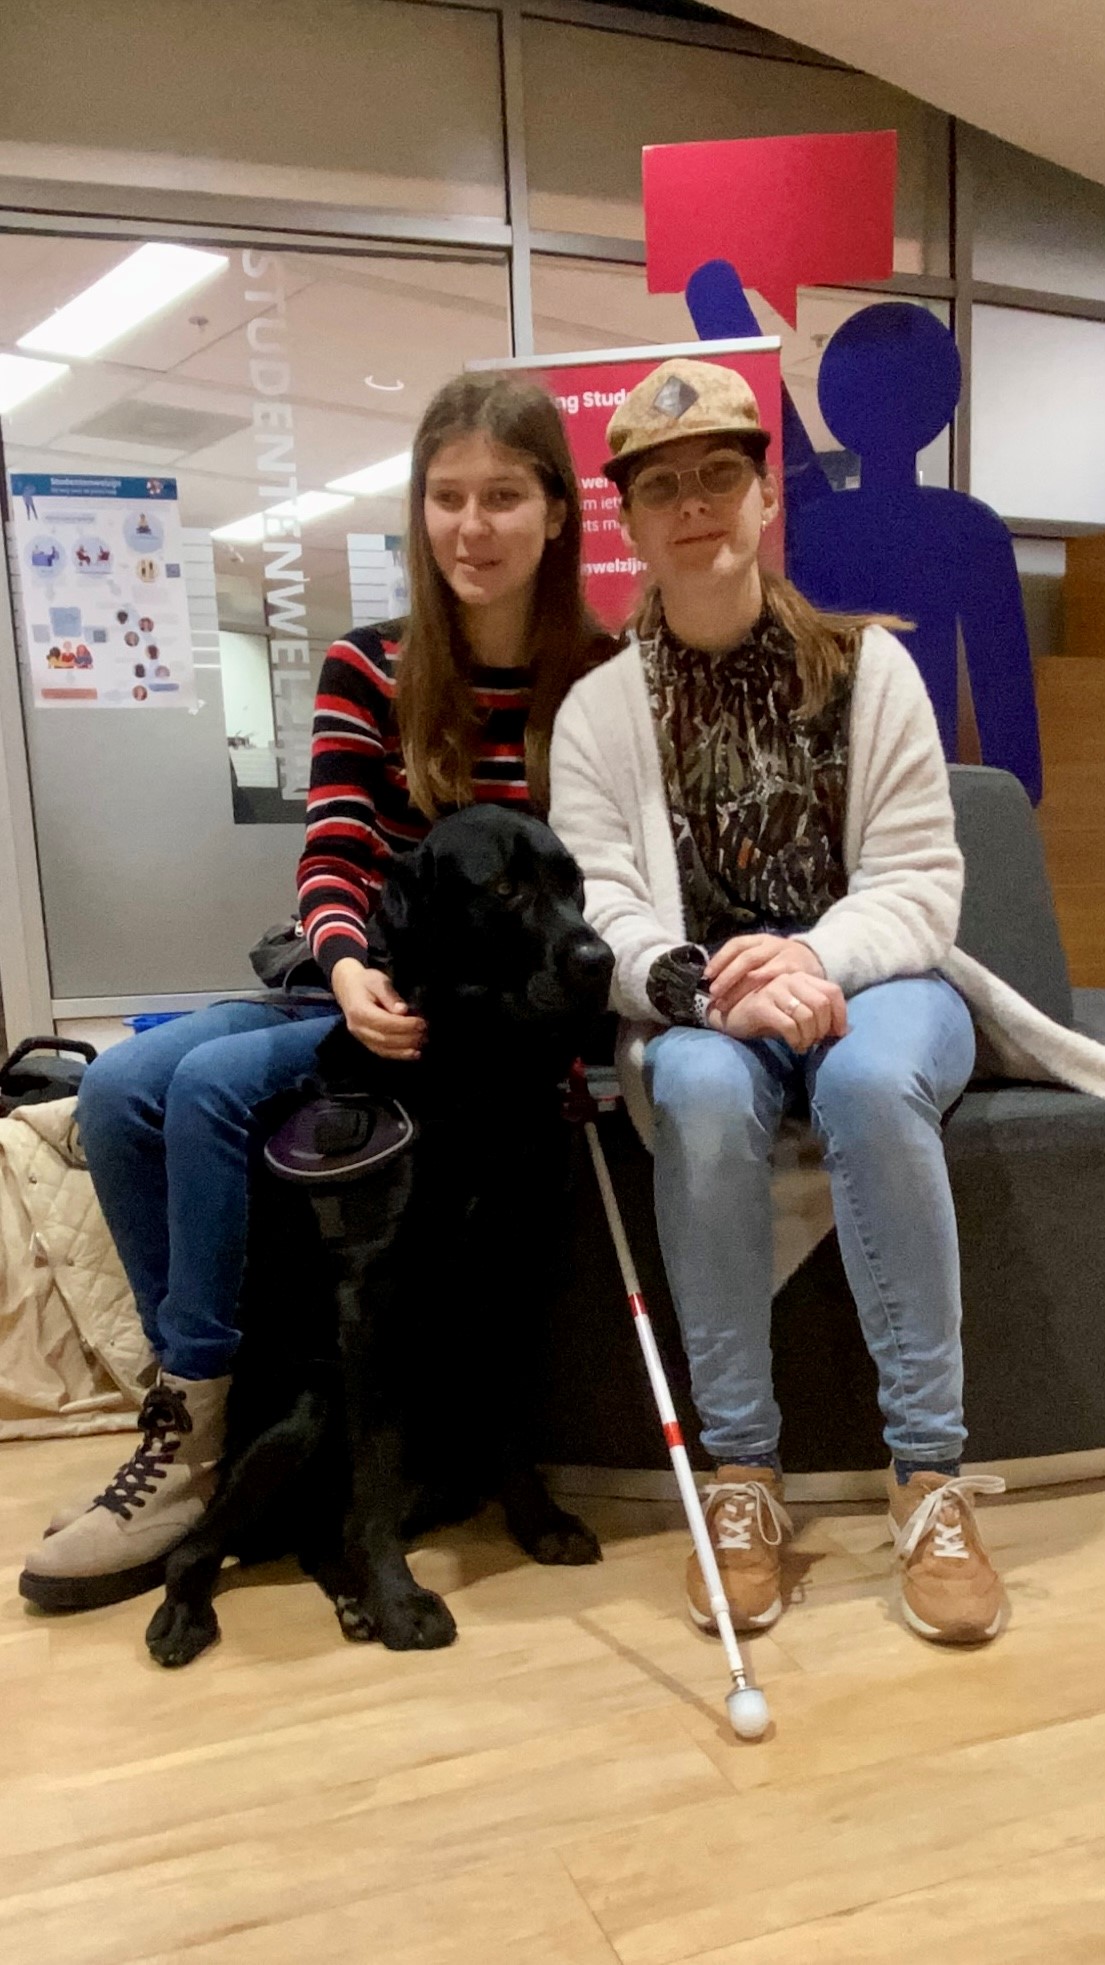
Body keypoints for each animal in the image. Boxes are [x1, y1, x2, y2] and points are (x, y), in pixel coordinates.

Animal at [141, 805, 613, 1666]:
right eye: (503, 888)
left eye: (574, 884)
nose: (600, 959)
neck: (474, 1070)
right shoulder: (372, 1290)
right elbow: (375, 1469)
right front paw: (400, 1602)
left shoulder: (511, 1265)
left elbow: (507, 1419)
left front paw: (540, 1522)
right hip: (305, 1408)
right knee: (205, 1545)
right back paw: (193, 1613)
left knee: (325, 1536)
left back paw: (351, 1597)